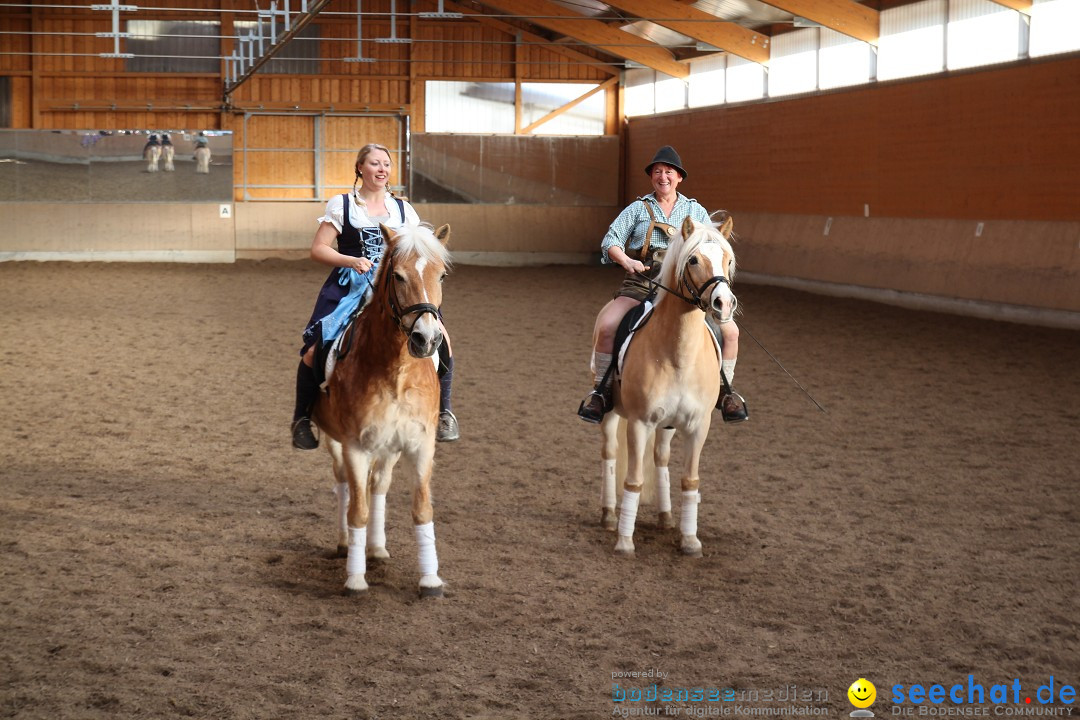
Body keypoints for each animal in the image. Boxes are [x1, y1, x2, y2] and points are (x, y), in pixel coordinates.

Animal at [313, 221, 451, 595]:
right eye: (399, 277)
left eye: (442, 275)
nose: (427, 339)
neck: (396, 374)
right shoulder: (355, 445)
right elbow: (357, 510)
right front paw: (355, 579)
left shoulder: (420, 445)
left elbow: (422, 508)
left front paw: (430, 578)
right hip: (336, 442)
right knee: (345, 485)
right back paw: (347, 544)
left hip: (389, 446)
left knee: (379, 485)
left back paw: (375, 547)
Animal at [596, 212, 738, 557]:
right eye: (694, 260)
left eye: (727, 260)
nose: (724, 304)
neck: (678, 355)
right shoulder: (639, 422)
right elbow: (633, 481)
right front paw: (624, 542)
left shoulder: (698, 426)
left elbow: (690, 481)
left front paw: (690, 540)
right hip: (611, 413)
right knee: (609, 452)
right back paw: (609, 516)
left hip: (668, 425)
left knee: (660, 458)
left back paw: (665, 517)